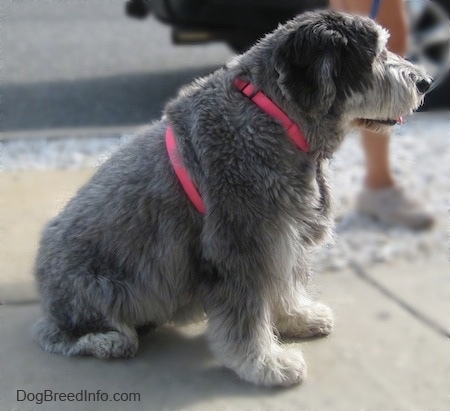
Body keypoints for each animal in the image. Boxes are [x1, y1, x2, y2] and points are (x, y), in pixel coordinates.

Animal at [34, 10, 428, 390]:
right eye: (376, 53)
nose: (425, 81)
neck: (274, 116)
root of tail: (41, 276)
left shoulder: (282, 235)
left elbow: (285, 285)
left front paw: (296, 317)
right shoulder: (241, 248)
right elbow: (248, 319)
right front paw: (266, 365)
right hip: (100, 289)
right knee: (54, 334)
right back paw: (107, 340)